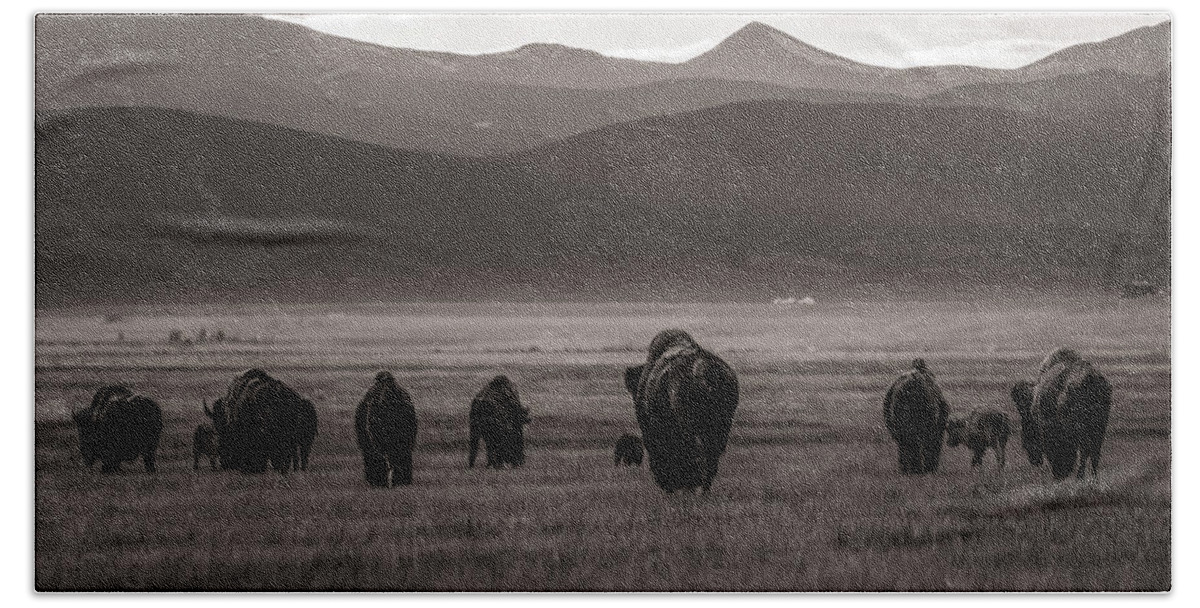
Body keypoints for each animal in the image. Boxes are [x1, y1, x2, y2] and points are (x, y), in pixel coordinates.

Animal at [624, 328, 734, 494]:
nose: (665, 485)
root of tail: (706, 371)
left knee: (696, 453)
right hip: (721, 428)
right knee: (711, 458)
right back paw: (704, 490)